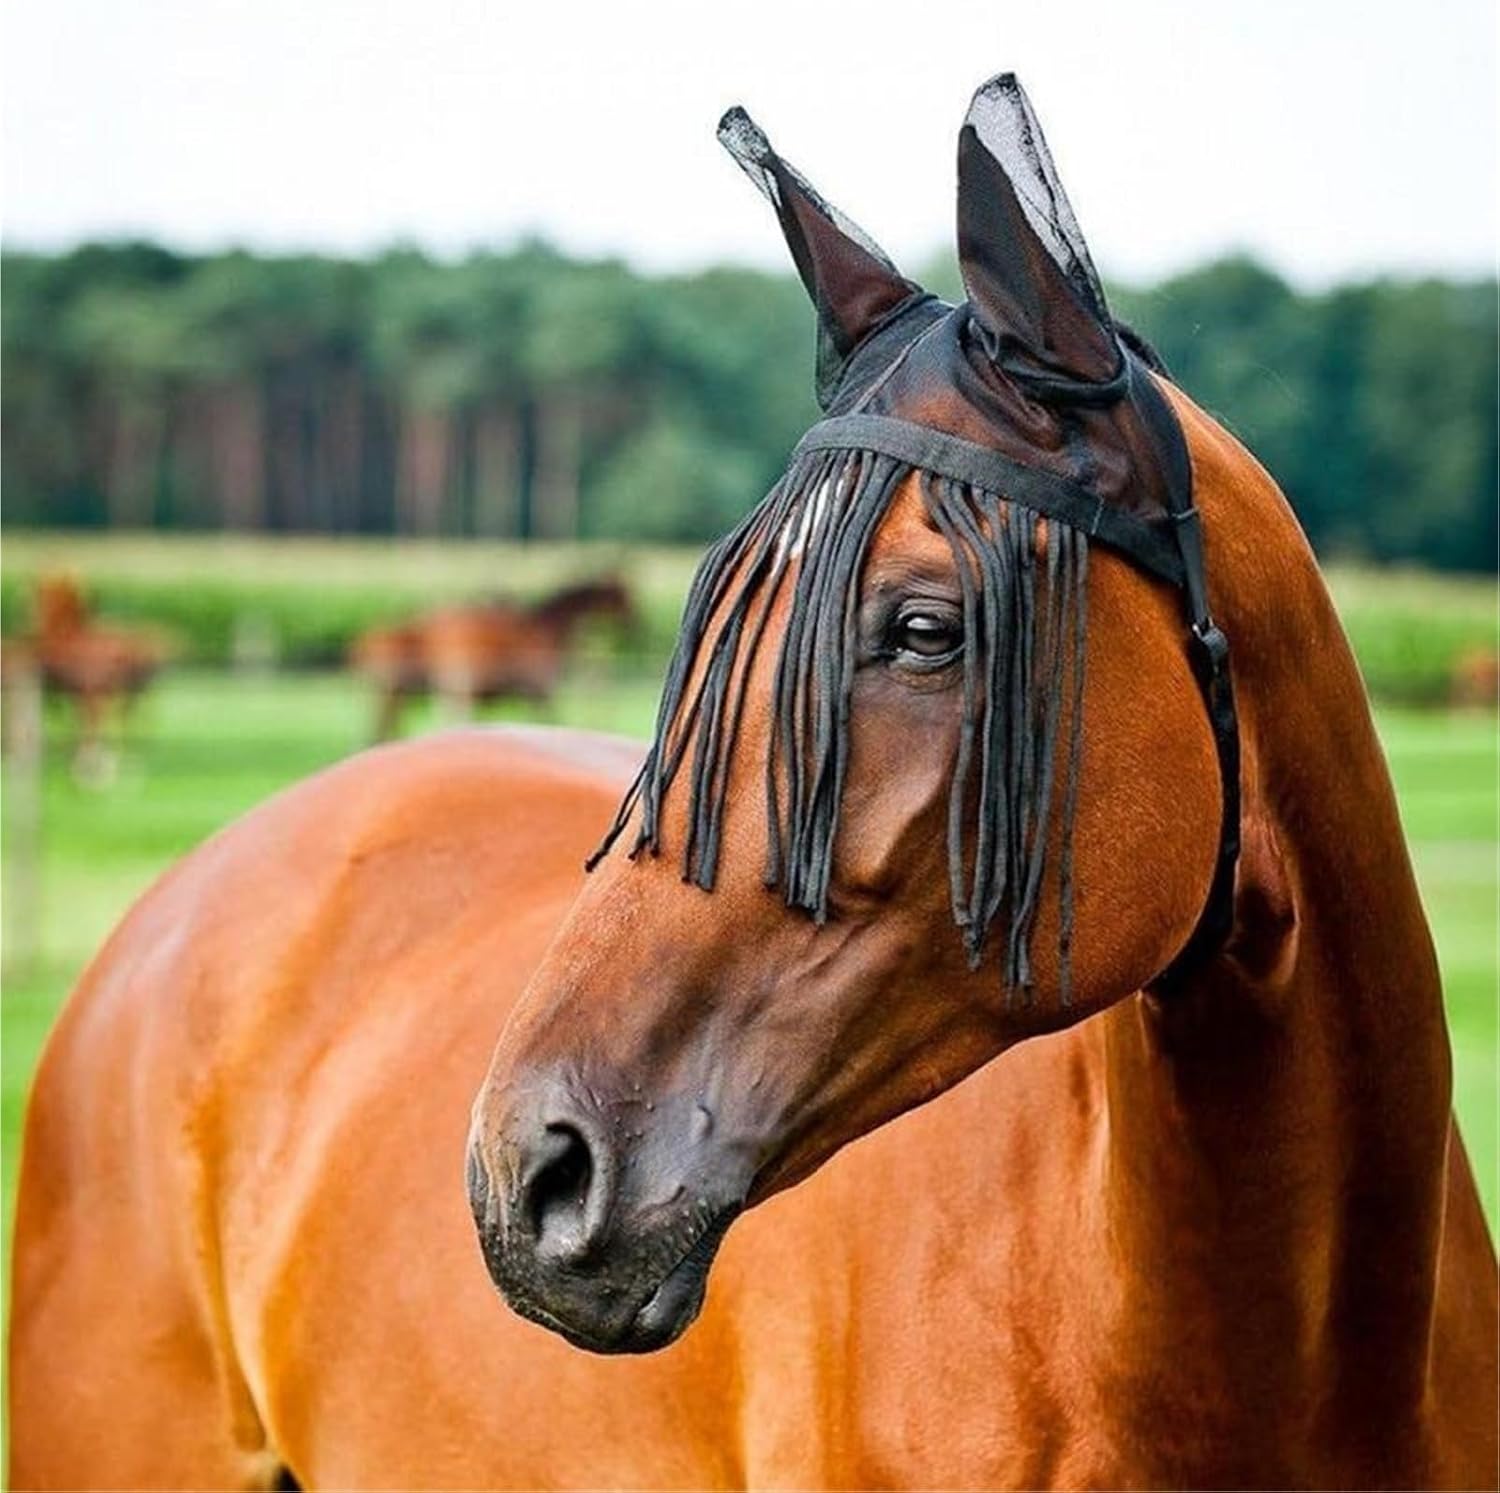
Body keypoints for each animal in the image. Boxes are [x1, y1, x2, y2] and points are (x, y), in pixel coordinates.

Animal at [349, 576, 636, 741]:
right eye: (623, 595)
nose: (637, 625)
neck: (545, 629)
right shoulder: (539, 689)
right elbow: (553, 720)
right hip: (444, 687)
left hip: (401, 692)